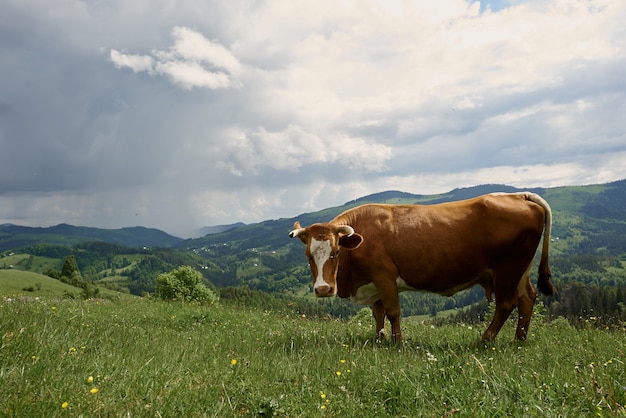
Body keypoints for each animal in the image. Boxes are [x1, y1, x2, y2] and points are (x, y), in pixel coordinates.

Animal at [288, 193, 556, 342]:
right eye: (308, 255)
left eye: (335, 253)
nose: (323, 289)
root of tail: (518, 195)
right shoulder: (373, 283)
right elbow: (378, 313)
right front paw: (379, 340)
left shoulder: (384, 276)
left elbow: (392, 312)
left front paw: (398, 344)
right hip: (520, 270)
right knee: (527, 299)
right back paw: (518, 340)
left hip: (507, 270)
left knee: (506, 304)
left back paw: (485, 340)